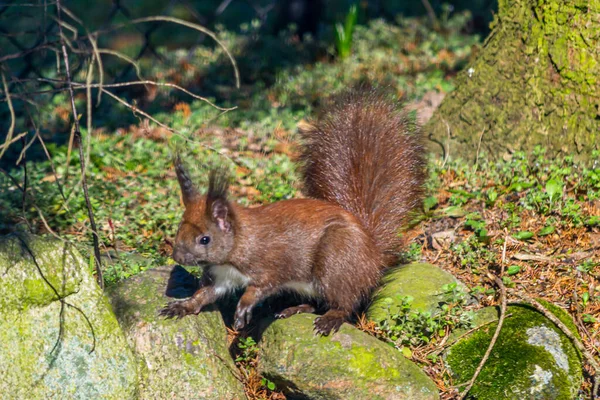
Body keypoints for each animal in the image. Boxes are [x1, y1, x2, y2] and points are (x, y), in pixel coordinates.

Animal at [159, 88, 426, 334]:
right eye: (179, 228)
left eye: (205, 239)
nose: (177, 257)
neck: (237, 246)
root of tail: (372, 254)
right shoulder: (221, 276)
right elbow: (205, 294)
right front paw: (183, 305)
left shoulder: (271, 264)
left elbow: (261, 286)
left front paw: (244, 307)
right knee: (319, 302)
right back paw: (296, 308)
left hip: (335, 260)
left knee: (345, 302)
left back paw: (330, 318)